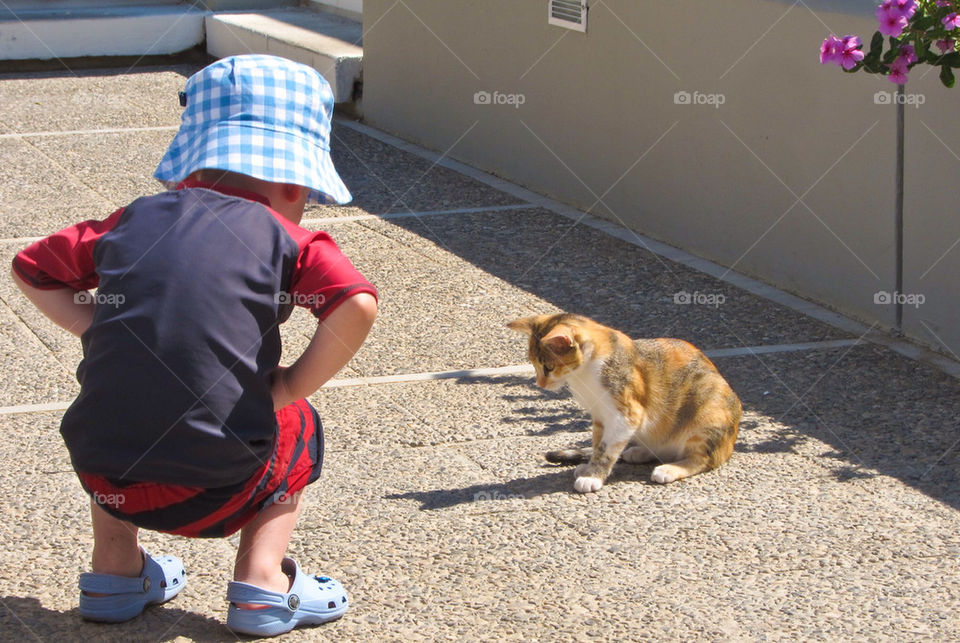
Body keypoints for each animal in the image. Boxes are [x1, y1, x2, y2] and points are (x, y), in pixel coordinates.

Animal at [510, 314, 744, 494]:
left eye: (548, 367)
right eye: (533, 364)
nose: (540, 383)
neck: (584, 375)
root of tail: (730, 445)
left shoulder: (627, 414)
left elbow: (606, 449)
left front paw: (593, 476)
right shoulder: (600, 416)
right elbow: (598, 444)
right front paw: (589, 467)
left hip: (708, 412)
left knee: (703, 459)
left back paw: (669, 469)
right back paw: (639, 452)